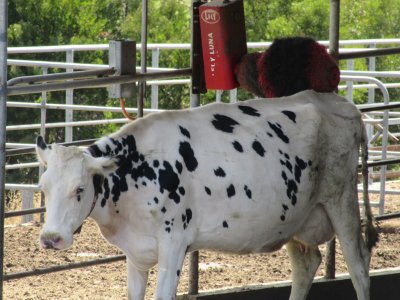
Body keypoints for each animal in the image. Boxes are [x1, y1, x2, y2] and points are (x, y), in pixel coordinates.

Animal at [36, 91, 376, 300]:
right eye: (43, 187)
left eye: (79, 189)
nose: (51, 238)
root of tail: (341, 104)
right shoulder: (136, 251)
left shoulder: (174, 243)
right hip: (294, 218)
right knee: (306, 265)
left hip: (341, 200)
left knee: (359, 267)